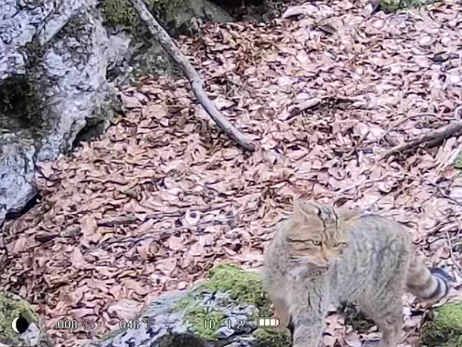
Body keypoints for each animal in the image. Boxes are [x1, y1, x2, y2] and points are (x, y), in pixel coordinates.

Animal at [262, 201, 450, 347]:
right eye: (316, 242)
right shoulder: (277, 295)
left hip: (382, 297)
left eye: (337, 244)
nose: (328, 260)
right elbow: (281, 316)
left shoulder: (311, 314)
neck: (294, 267)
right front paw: (276, 329)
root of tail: (401, 229)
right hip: (368, 300)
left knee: (396, 325)